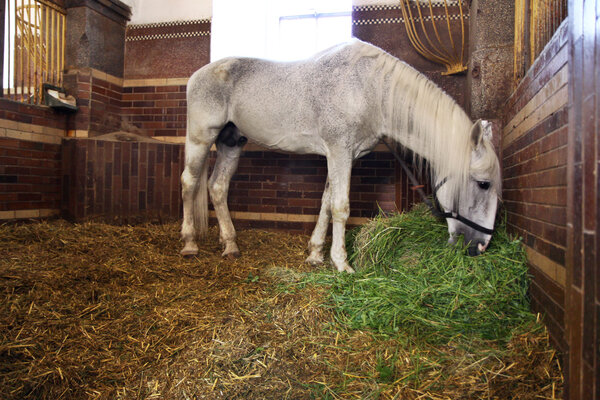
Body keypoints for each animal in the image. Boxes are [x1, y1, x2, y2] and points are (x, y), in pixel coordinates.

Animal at [179, 39, 502, 272]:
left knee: (217, 187)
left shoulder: (342, 156)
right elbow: (340, 207)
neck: (370, 89)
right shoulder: (339, 152)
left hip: (231, 142)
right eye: (483, 184)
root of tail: (197, 75)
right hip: (200, 138)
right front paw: (341, 262)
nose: (480, 247)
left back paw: (230, 245)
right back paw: (190, 243)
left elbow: (326, 202)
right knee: (189, 183)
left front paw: (315, 254)